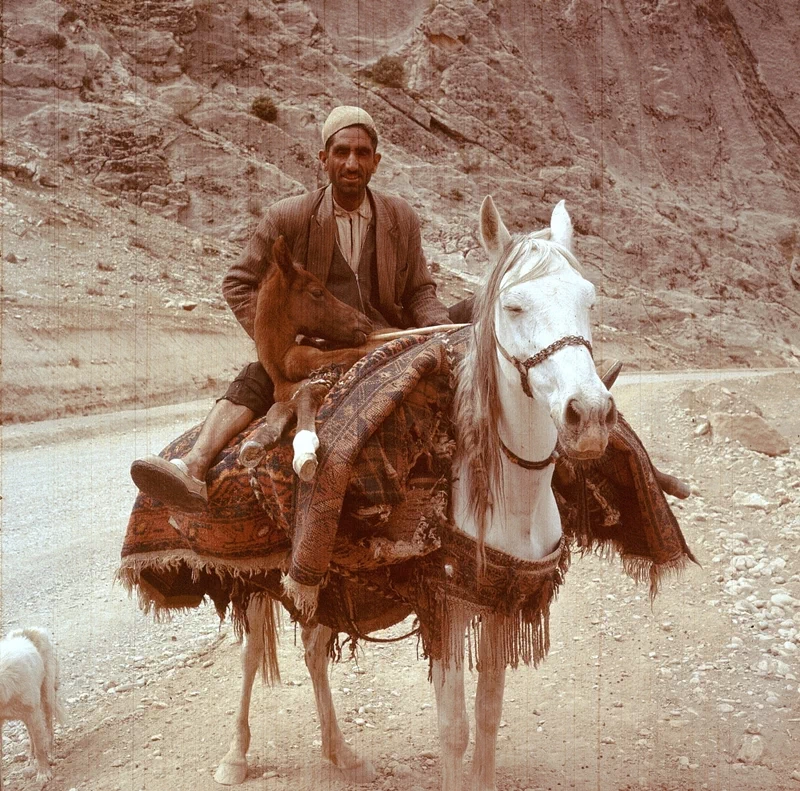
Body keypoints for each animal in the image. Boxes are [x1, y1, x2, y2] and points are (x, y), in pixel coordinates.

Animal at [0, 632, 65, 784]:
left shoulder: (33, 714)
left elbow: (40, 748)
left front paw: (44, 774)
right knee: (31, 737)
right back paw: (31, 759)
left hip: (47, 699)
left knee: (48, 730)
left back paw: (50, 755)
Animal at [212, 198, 612, 791]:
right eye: (513, 306)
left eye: (588, 299)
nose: (589, 415)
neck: (507, 499)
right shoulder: (442, 605)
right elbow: (454, 730)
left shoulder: (499, 603)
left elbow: (488, 715)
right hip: (260, 577)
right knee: (250, 652)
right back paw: (235, 756)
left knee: (312, 649)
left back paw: (342, 754)